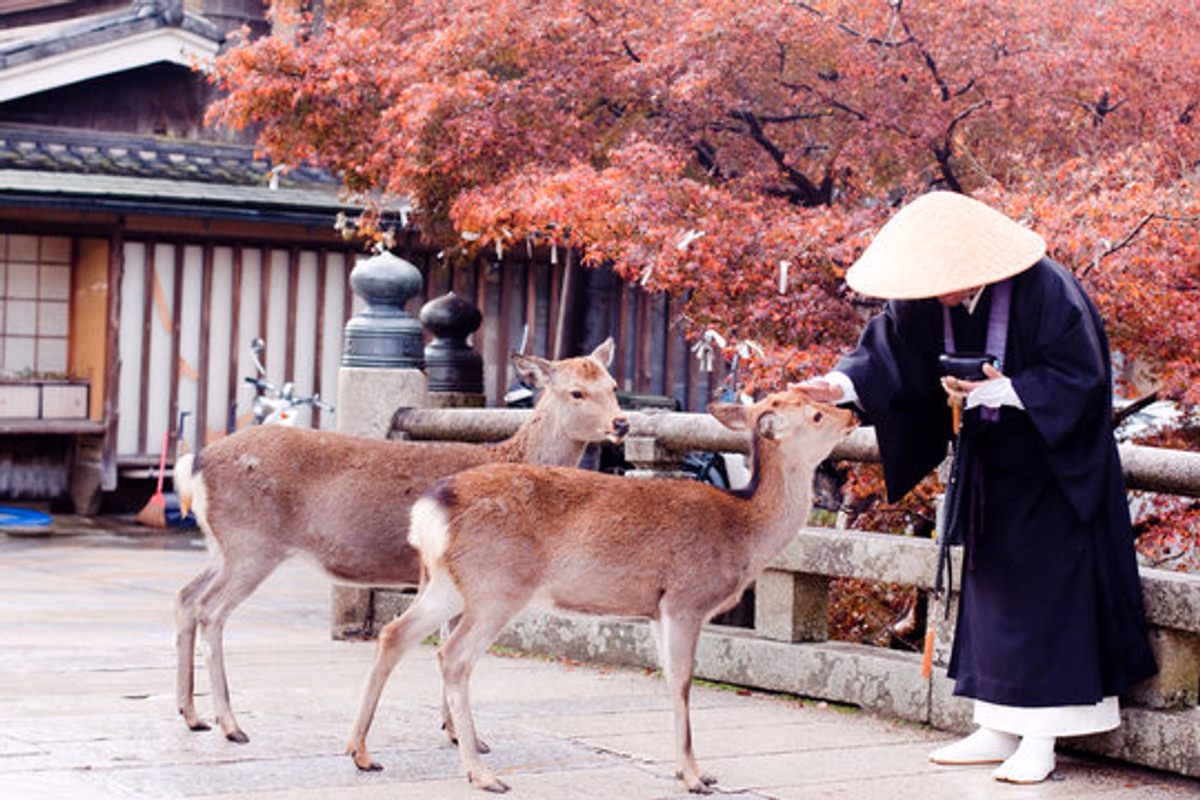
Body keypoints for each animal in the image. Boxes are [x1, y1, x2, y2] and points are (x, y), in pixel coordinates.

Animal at [172, 339, 628, 745]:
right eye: (576, 391)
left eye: (613, 384)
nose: (622, 423)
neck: (512, 455)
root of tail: (194, 463)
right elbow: (449, 643)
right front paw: (466, 737)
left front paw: (451, 729)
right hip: (252, 544)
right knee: (211, 610)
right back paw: (231, 725)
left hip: (223, 545)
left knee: (186, 596)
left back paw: (192, 715)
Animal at [345, 389, 856, 794]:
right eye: (815, 415)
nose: (851, 413)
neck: (744, 531)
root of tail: (430, 510)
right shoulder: (685, 598)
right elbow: (683, 679)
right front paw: (695, 776)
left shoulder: (657, 609)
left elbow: (669, 678)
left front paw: (692, 771)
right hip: (497, 586)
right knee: (452, 654)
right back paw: (482, 773)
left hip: (447, 583)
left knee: (394, 633)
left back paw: (360, 751)